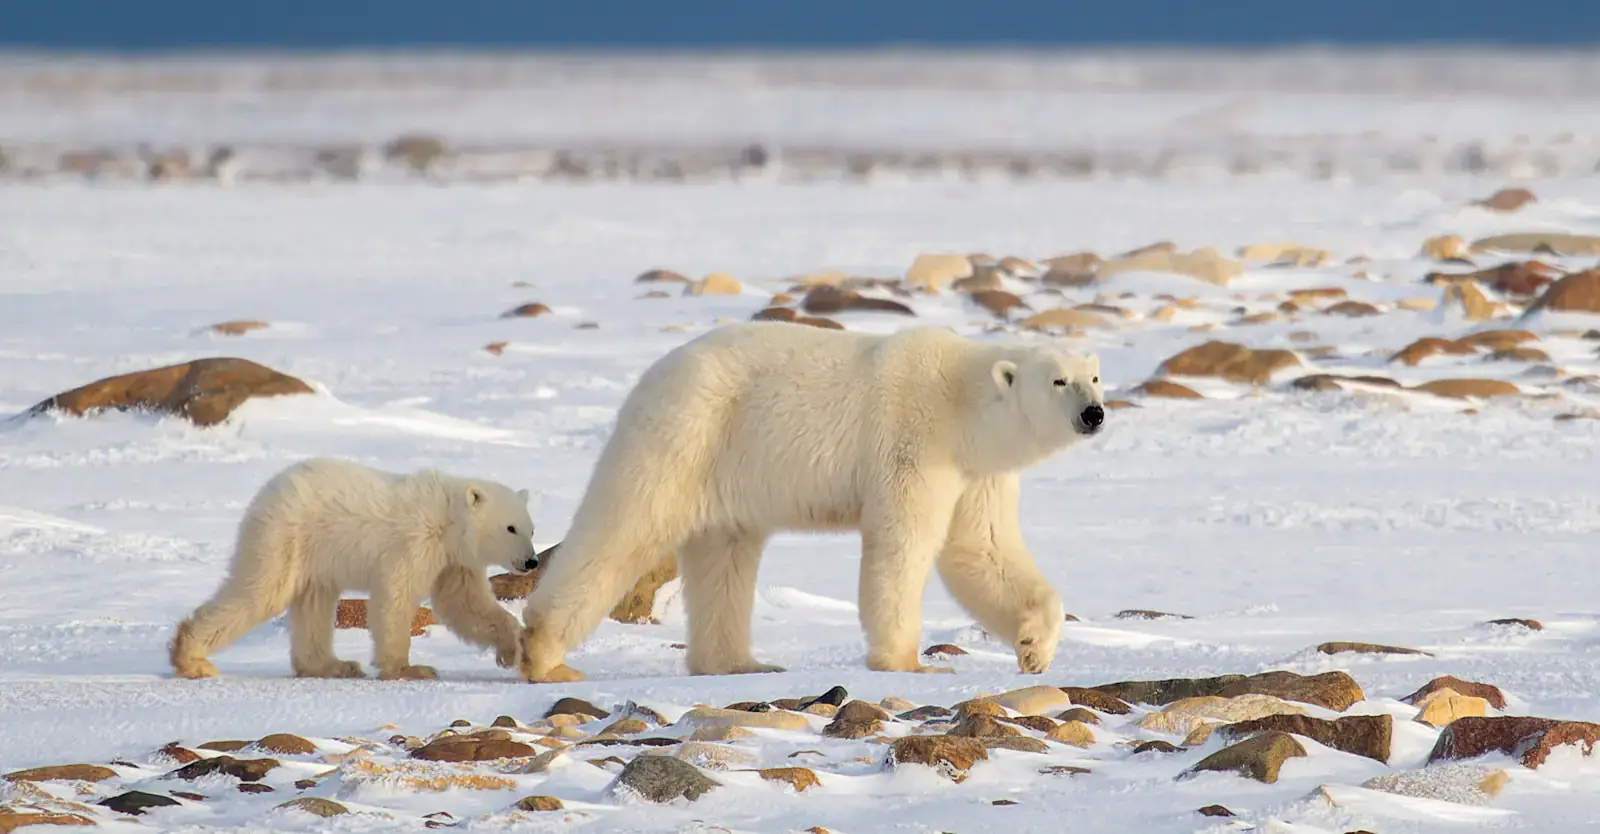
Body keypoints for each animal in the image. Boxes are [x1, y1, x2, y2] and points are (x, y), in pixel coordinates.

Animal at [169, 457, 540, 681]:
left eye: (531, 529)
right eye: (510, 528)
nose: (531, 561)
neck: (448, 519)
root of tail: (268, 490)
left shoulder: (453, 561)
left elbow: (465, 604)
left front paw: (511, 650)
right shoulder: (416, 542)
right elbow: (396, 595)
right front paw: (409, 668)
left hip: (313, 555)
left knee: (314, 603)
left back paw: (334, 665)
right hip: (288, 535)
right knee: (261, 591)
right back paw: (191, 657)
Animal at [516, 320, 1105, 683]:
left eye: (1095, 377)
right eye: (1059, 381)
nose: (1094, 413)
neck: (960, 401)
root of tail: (651, 377)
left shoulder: (976, 472)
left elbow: (983, 549)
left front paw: (1035, 648)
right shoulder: (914, 442)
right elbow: (903, 544)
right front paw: (909, 663)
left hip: (727, 469)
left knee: (724, 557)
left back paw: (741, 664)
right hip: (689, 432)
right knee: (625, 525)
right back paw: (547, 654)